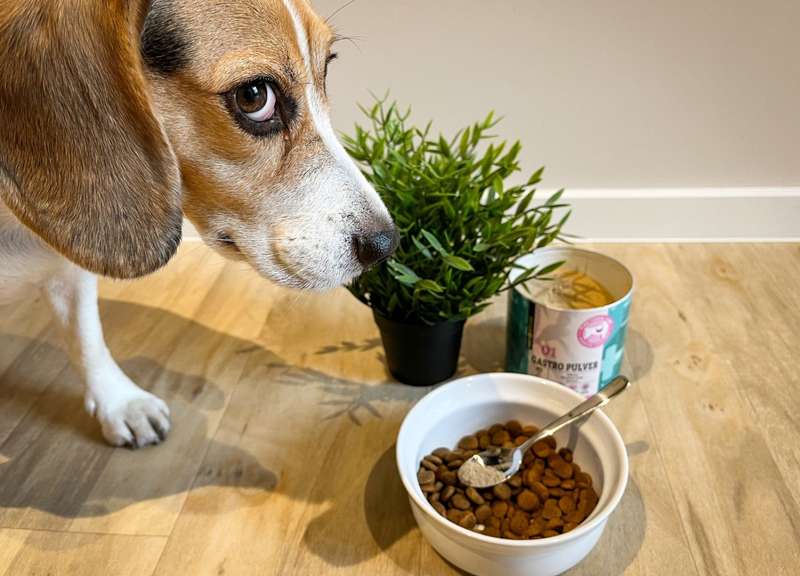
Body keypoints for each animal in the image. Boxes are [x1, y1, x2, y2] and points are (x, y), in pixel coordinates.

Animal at [0, 0, 398, 448]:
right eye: (254, 96)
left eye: (326, 70)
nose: (386, 244)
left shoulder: (67, 267)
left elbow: (86, 336)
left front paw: (120, 403)